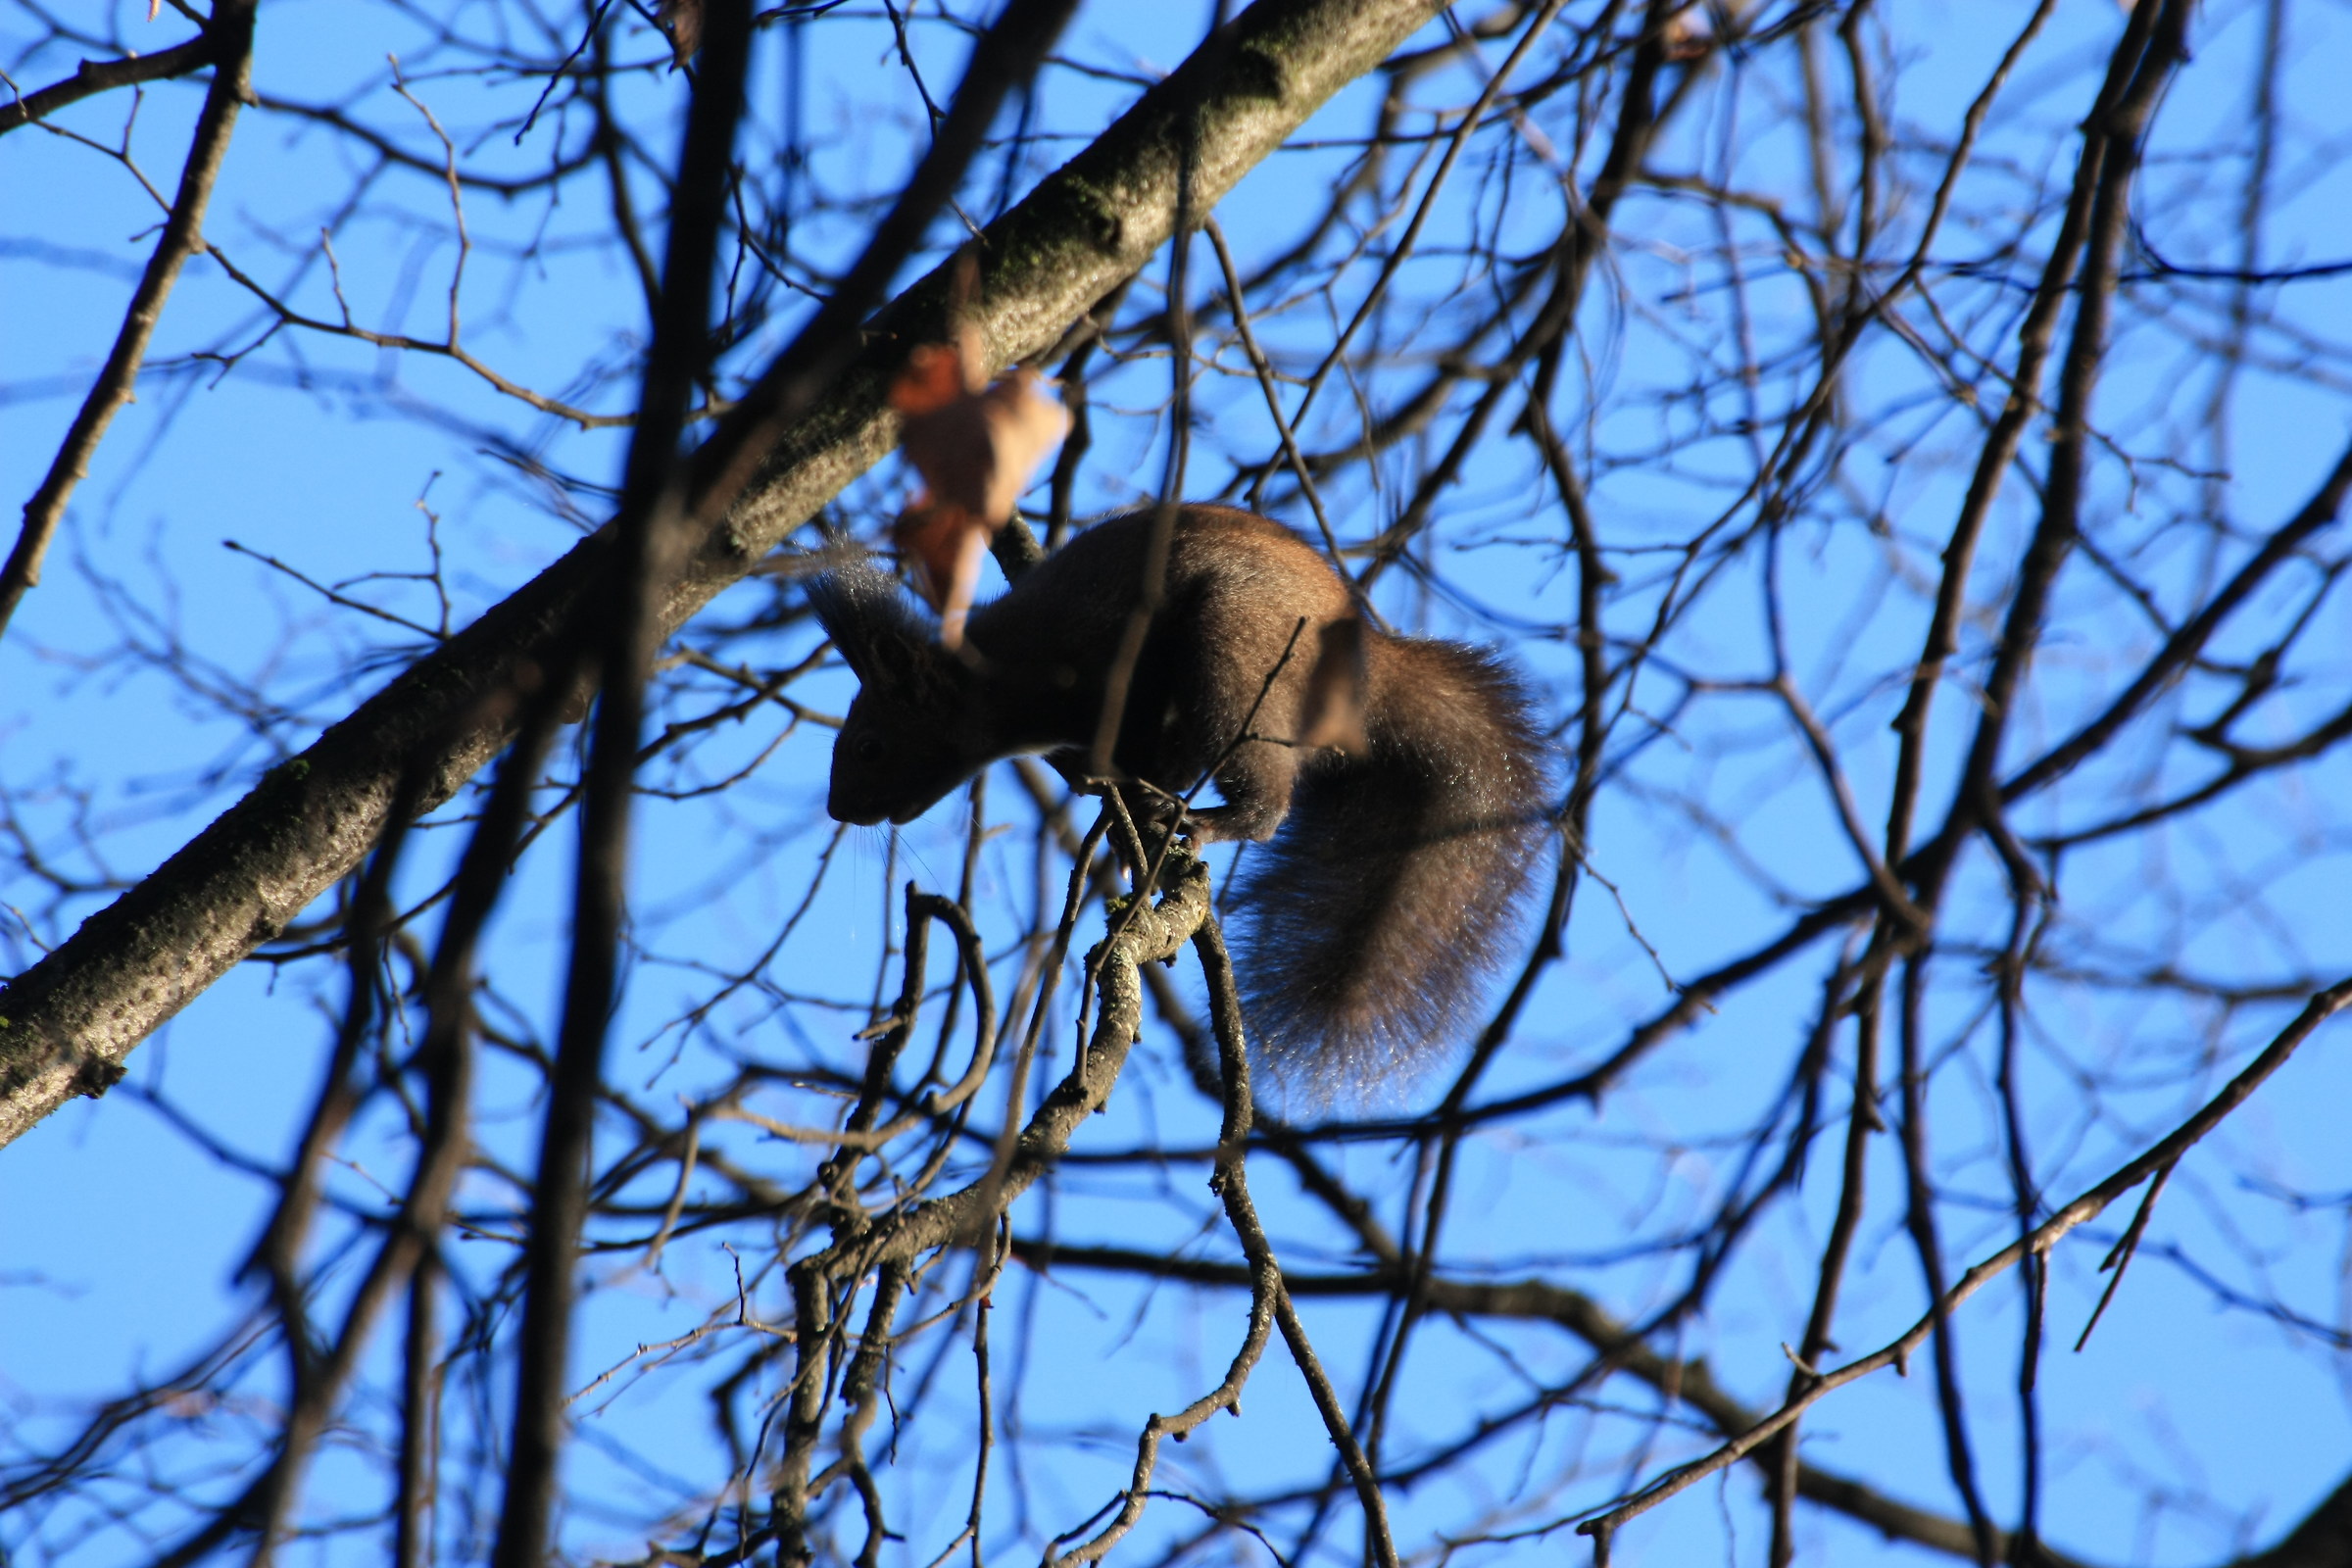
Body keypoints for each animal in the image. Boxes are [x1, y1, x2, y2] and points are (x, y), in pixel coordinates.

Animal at [800, 505, 1552, 1091]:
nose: (838, 809)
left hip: (1235, 655)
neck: (998, 680)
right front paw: (1110, 787)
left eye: (868, 747)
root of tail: (1369, 676)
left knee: (1264, 800)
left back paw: (1203, 818)